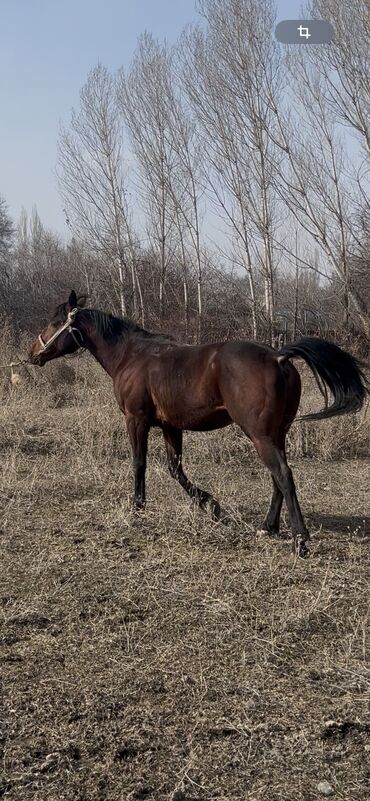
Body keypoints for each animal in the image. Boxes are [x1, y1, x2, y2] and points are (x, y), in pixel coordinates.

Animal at [28, 290, 368, 560]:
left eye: (56, 321)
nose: (33, 354)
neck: (132, 356)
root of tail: (278, 357)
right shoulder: (170, 427)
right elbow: (175, 469)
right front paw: (211, 505)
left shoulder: (136, 420)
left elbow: (139, 463)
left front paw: (138, 507)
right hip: (276, 434)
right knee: (278, 478)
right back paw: (267, 527)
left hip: (260, 435)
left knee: (283, 475)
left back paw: (300, 540)